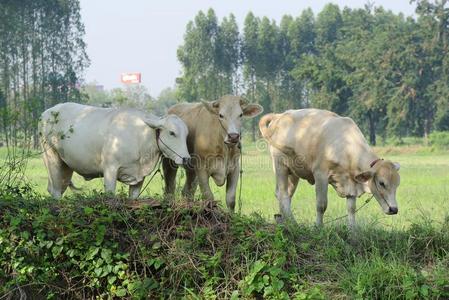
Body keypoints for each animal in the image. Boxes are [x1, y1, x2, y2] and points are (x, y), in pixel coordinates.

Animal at [39, 102, 191, 199]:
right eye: (172, 133)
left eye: (186, 134)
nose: (186, 158)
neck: (140, 136)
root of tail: (48, 112)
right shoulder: (110, 170)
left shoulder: (139, 178)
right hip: (51, 158)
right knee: (56, 191)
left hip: (65, 167)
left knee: (55, 188)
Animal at [258, 109, 400, 227]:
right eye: (382, 183)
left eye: (397, 184)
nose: (394, 209)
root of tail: (279, 116)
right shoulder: (320, 175)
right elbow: (321, 205)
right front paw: (319, 227)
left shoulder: (351, 183)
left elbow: (351, 209)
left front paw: (353, 231)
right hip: (280, 165)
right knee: (282, 194)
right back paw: (293, 223)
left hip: (293, 173)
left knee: (286, 194)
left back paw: (284, 220)